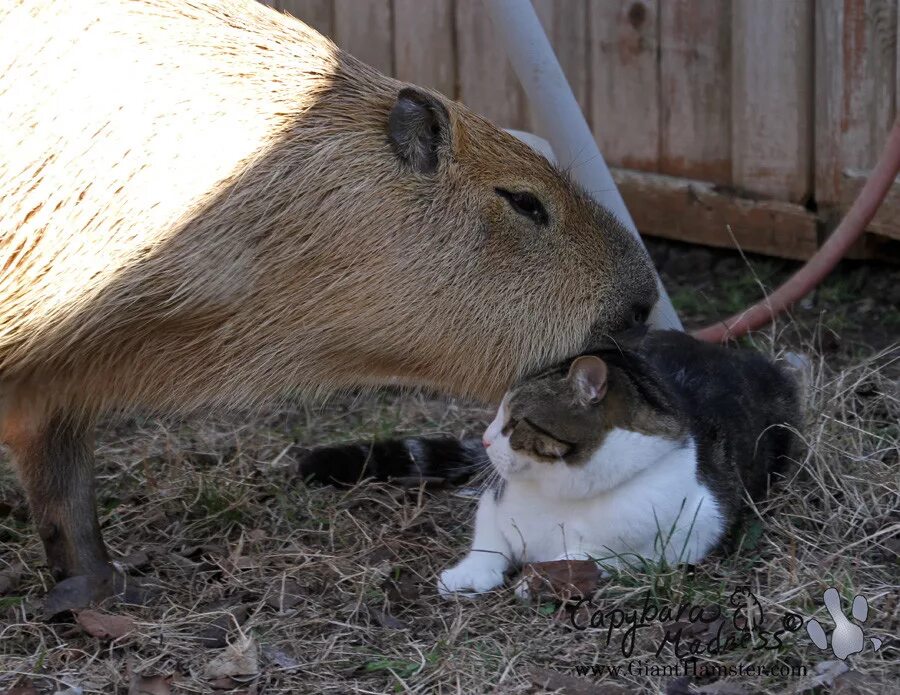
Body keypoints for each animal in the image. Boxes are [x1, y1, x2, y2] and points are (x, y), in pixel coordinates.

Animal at [300, 332, 800, 600]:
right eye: (497, 413)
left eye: (514, 422)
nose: (485, 437)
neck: (561, 492)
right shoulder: (496, 499)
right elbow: (490, 539)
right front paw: (471, 573)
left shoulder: (685, 534)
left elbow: (590, 556)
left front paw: (542, 579)